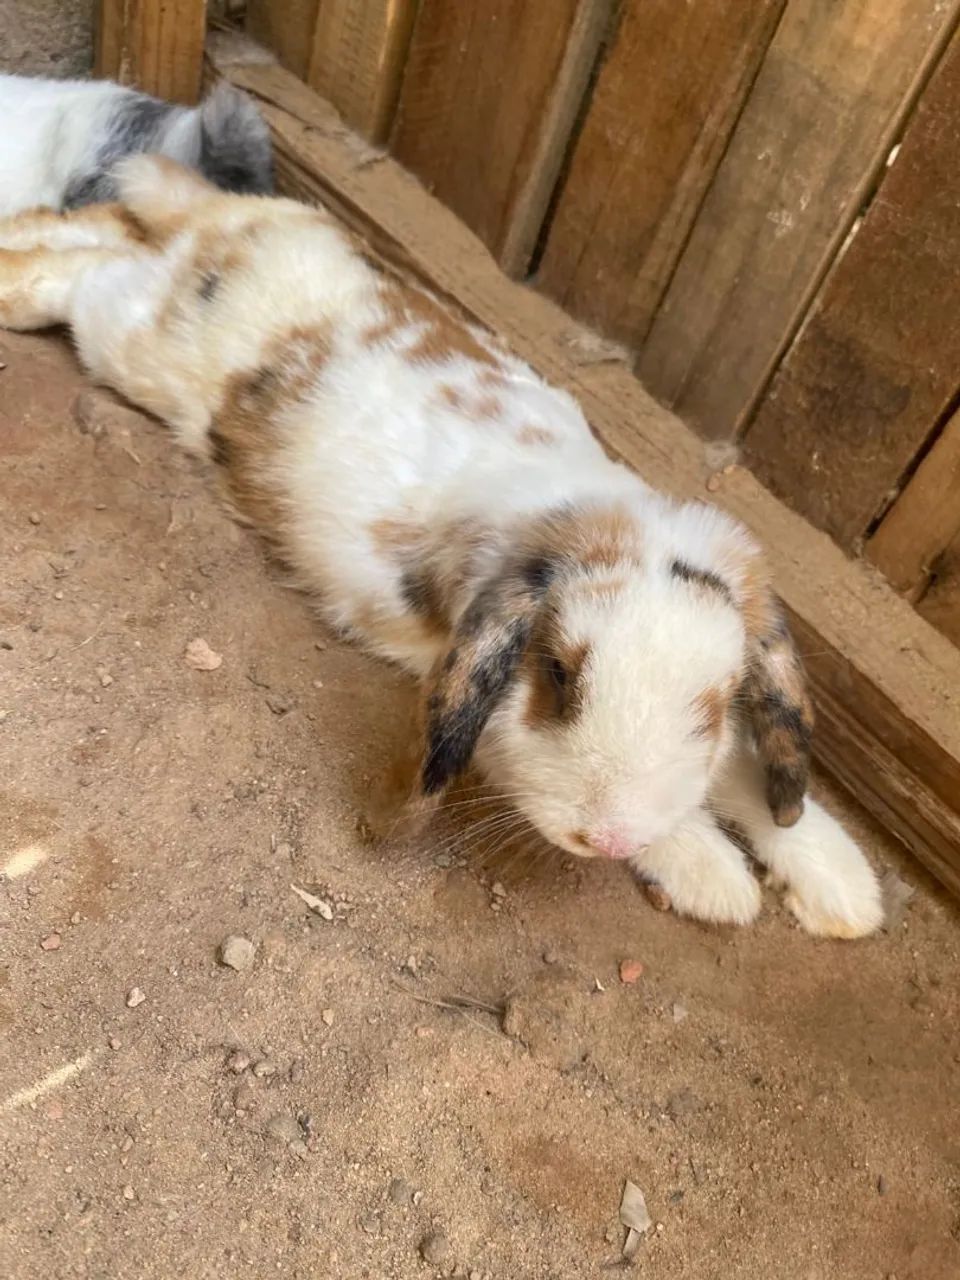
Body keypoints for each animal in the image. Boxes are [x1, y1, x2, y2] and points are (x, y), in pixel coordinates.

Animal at [0, 154, 884, 938]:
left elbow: (747, 775)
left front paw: (847, 894)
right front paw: (715, 879)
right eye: (556, 676)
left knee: (105, 225)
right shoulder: (481, 708)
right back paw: (15, 285)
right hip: (119, 333)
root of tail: (229, 228)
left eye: (714, 704)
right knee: (83, 268)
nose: (608, 838)